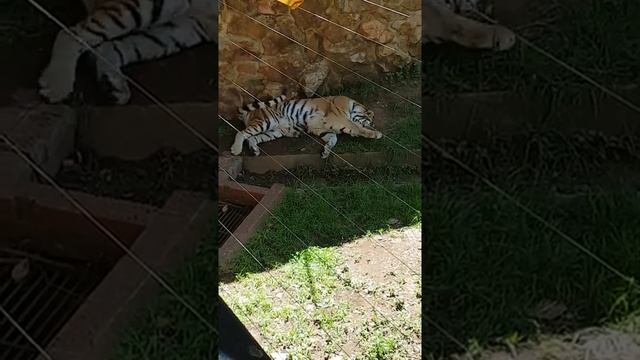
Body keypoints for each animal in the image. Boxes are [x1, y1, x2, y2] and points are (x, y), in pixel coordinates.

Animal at [38, 0, 218, 104]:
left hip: (182, 28)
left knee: (109, 46)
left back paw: (113, 86)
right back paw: (57, 87)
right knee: (69, 33)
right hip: (150, 7)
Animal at [229, 94, 380, 159]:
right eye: (370, 120)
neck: (353, 105)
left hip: (273, 131)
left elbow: (333, 139)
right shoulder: (337, 118)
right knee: (241, 133)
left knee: (252, 138)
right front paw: (375, 134)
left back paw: (254, 151)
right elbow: (355, 126)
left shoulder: (322, 129)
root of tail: (248, 113)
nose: (373, 125)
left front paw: (326, 152)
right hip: (265, 122)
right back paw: (236, 150)